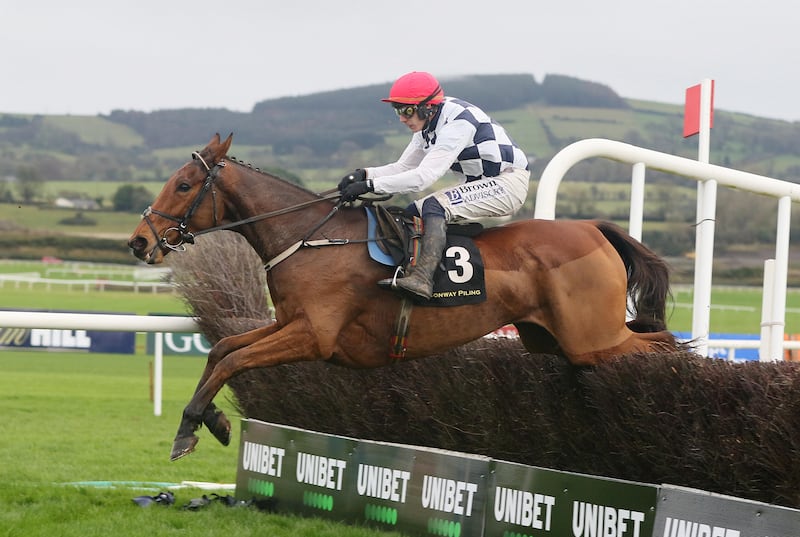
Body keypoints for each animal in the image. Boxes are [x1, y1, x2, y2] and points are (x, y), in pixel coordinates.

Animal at [128, 134, 680, 460]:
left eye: (183, 185)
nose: (138, 242)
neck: (310, 236)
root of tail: (593, 228)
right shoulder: (289, 323)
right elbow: (224, 349)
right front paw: (211, 419)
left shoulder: (314, 335)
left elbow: (232, 361)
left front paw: (189, 428)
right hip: (553, 338)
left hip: (594, 338)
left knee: (665, 345)